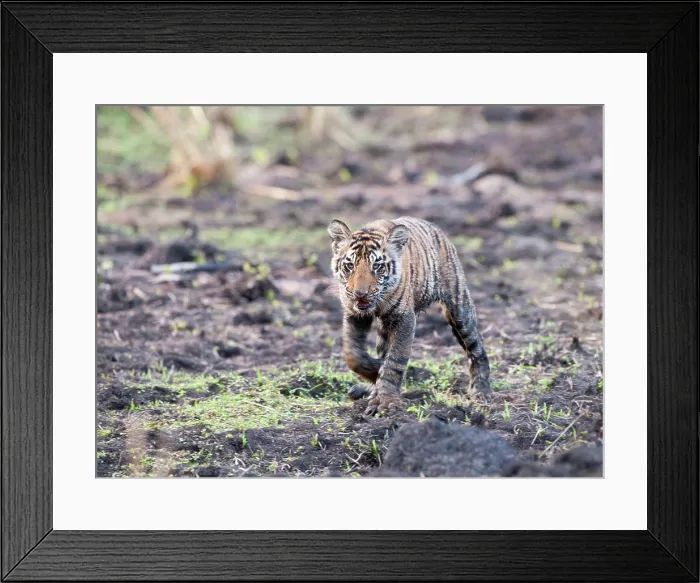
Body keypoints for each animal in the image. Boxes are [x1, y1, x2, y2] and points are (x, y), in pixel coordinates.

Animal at [327, 216, 491, 415]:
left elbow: (395, 360)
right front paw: (375, 372)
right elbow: (353, 353)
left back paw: (481, 390)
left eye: (377, 266)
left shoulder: (404, 318)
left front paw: (385, 401)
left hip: (459, 309)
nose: (360, 294)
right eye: (350, 265)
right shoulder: (354, 316)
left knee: (476, 347)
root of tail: (434, 227)